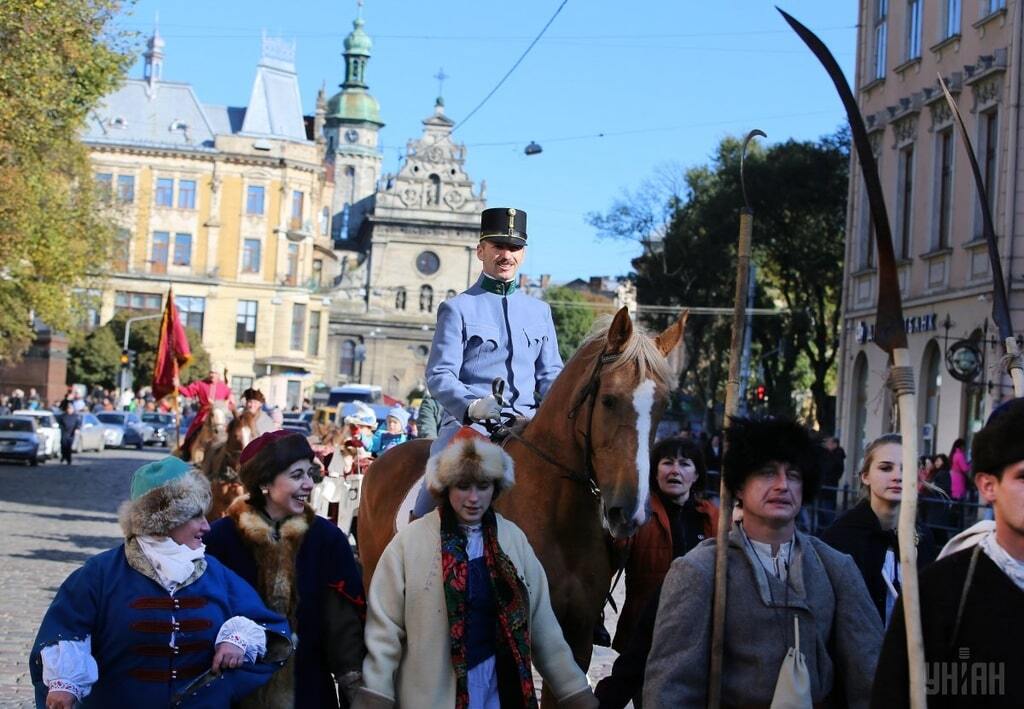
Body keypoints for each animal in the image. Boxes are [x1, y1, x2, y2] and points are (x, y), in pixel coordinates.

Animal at [356, 307, 684, 696]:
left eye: (663, 406)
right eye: (609, 399)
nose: (629, 512)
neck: (558, 515)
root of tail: (385, 458)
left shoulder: (576, 641)